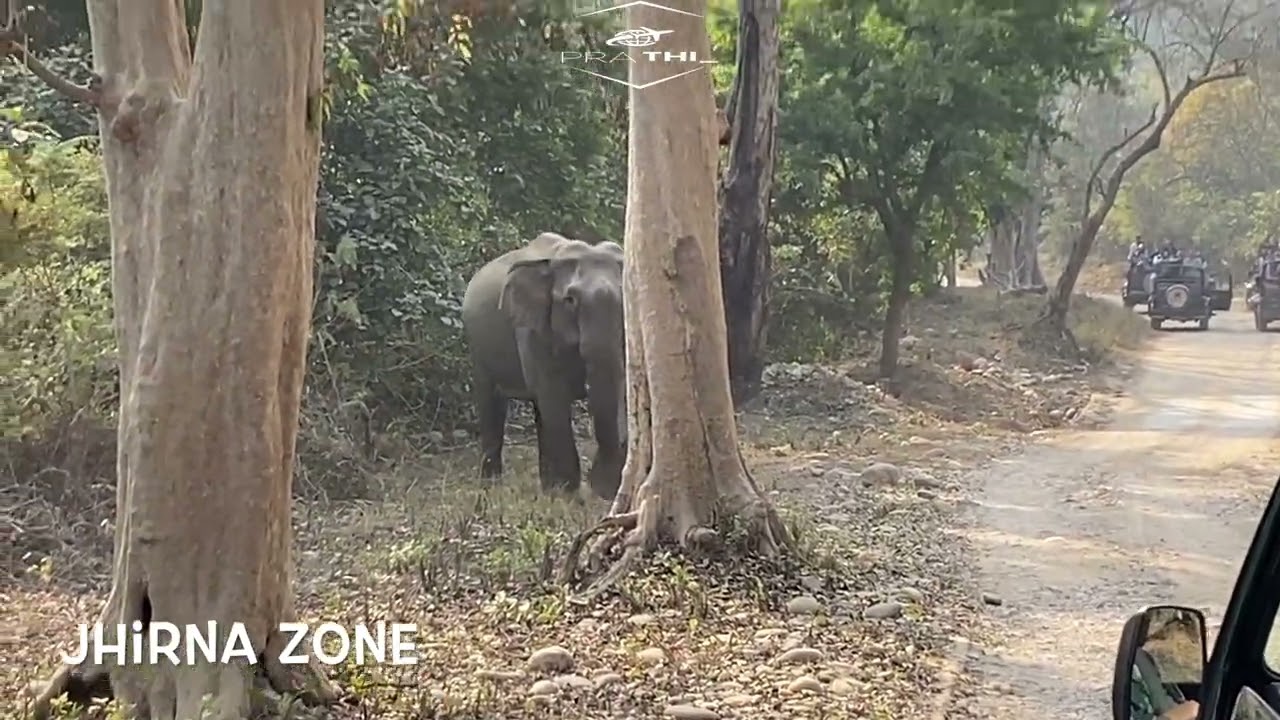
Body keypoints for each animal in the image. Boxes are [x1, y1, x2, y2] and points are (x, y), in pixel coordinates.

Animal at [461, 232, 627, 499]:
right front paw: (568, 495)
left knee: (539, 410)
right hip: (478, 349)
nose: (601, 489)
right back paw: (490, 487)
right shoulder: (531, 331)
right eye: (570, 300)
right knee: (492, 404)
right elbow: (554, 397)